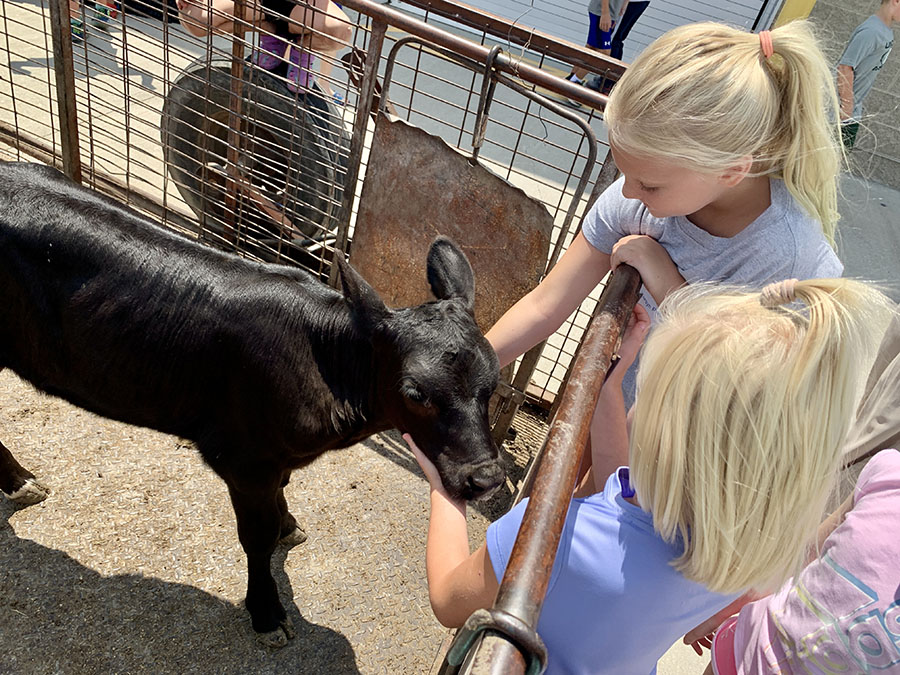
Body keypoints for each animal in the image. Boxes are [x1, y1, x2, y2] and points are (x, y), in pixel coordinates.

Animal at [0, 161, 506, 648]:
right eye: (415, 393)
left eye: (494, 382)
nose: (486, 479)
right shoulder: (243, 458)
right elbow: (256, 539)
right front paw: (267, 613)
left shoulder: (273, 458)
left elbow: (281, 497)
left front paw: (288, 524)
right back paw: (21, 482)